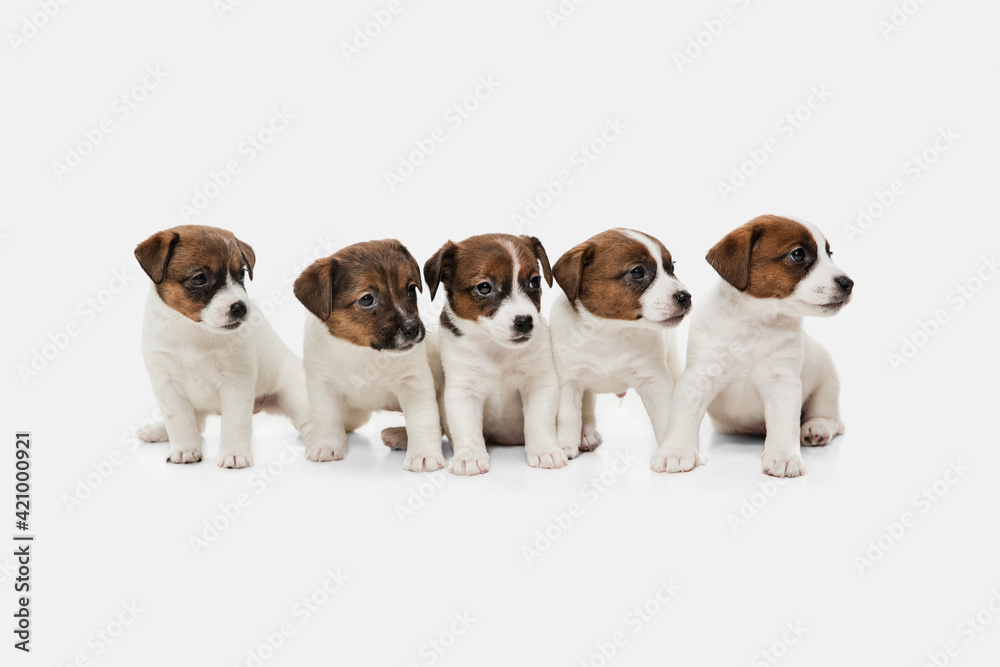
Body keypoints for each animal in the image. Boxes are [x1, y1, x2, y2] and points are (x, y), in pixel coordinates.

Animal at [131, 224, 314, 470]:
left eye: (242, 274)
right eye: (200, 278)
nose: (241, 308)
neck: (193, 331)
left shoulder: (236, 383)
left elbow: (235, 423)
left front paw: (234, 454)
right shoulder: (167, 385)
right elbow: (180, 422)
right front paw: (185, 449)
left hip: (294, 395)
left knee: (310, 421)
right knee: (197, 424)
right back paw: (158, 431)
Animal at [292, 237, 444, 472]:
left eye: (411, 289)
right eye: (366, 300)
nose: (412, 329)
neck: (363, 353)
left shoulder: (414, 383)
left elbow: (422, 420)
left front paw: (424, 455)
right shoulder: (323, 384)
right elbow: (327, 417)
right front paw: (326, 444)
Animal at [424, 234, 572, 474]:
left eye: (535, 282)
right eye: (484, 287)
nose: (525, 322)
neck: (496, 348)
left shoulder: (538, 383)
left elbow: (539, 420)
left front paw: (545, 450)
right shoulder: (463, 389)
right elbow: (467, 426)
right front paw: (470, 456)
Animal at [548, 227, 696, 462]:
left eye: (671, 268)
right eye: (637, 272)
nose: (686, 297)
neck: (611, 330)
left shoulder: (656, 382)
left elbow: (665, 418)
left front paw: (671, 450)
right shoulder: (568, 381)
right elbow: (568, 415)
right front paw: (565, 445)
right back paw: (586, 435)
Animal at [652, 217, 856, 478]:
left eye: (829, 253)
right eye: (798, 254)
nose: (848, 283)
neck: (755, 323)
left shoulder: (783, 382)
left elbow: (785, 423)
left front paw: (784, 456)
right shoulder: (699, 377)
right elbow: (682, 418)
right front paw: (675, 452)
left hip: (827, 381)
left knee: (830, 417)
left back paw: (816, 427)